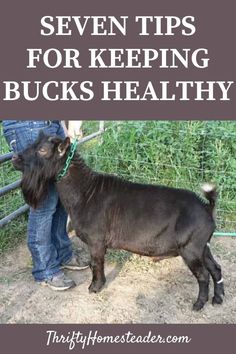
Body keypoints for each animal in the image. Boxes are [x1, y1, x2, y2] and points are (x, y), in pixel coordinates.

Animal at [13, 132, 224, 310]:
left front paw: (95, 287)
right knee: (215, 268)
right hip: (202, 246)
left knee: (203, 275)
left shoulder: (96, 240)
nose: (15, 158)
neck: (85, 192)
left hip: (191, 247)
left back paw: (199, 304)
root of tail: (207, 207)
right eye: (32, 143)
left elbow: (96, 263)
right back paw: (218, 299)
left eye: (43, 150)